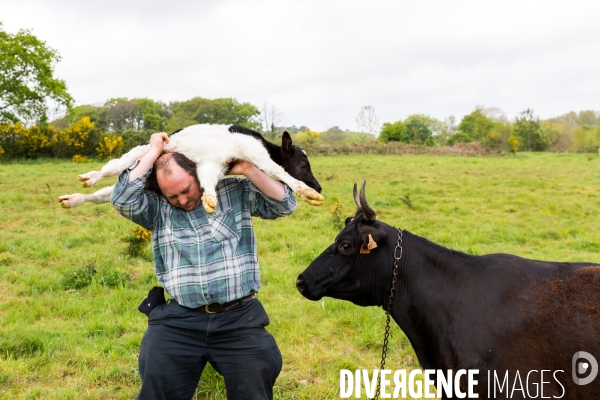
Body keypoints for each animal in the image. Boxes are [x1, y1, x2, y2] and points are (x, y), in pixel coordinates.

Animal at [57, 124, 324, 212]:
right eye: (303, 165)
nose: (319, 185)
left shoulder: (212, 165)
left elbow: (207, 183)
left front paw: (209, 200)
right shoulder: (254, 152)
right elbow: (277, 171)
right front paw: (309, 193)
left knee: (105, 194)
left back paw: (72, 199)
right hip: (138, 153)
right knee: (110, 169)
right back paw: (89, 177)